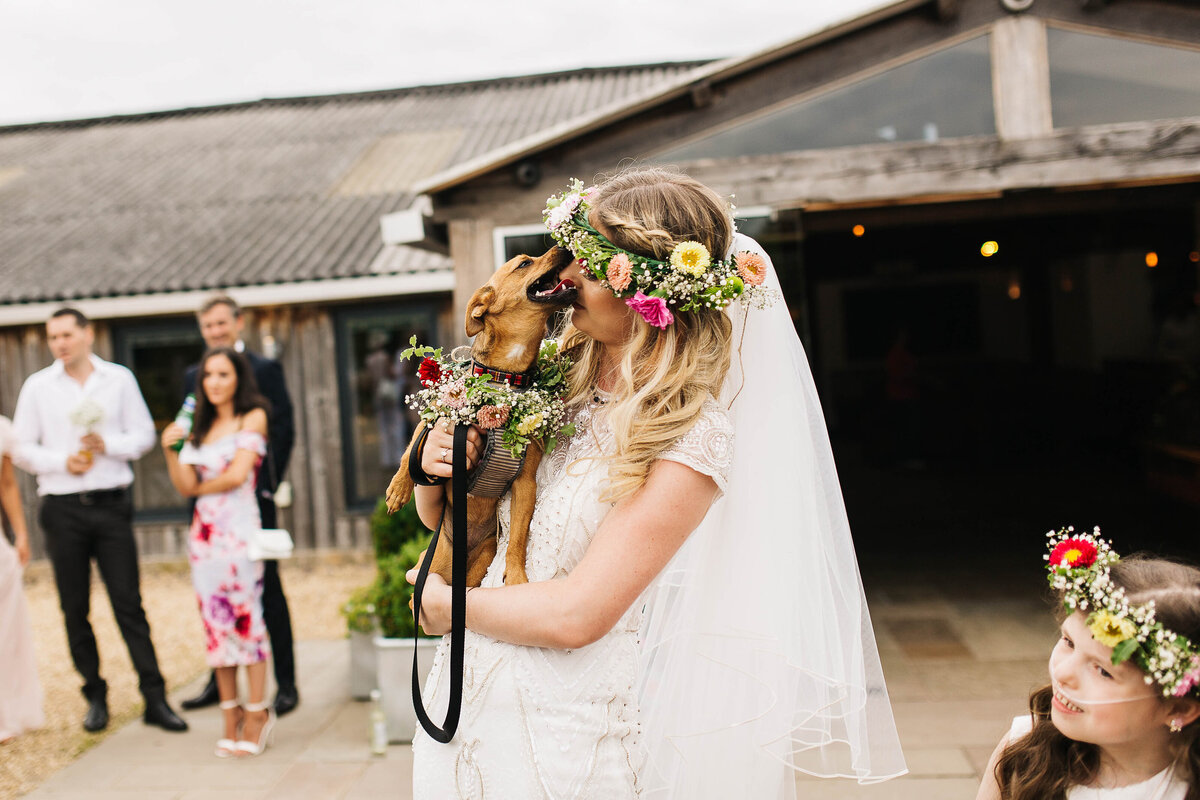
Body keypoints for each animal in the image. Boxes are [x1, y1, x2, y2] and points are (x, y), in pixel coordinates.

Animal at [381, 247, 573, 592]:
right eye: (524, 263)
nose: (562, 248)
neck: (503, 378)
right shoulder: (435, 415)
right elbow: (412, 449)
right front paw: (398, 489)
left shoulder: (525, 482)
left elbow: (518, 537)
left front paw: (517, 575)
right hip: (429, 568)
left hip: (480, 561)